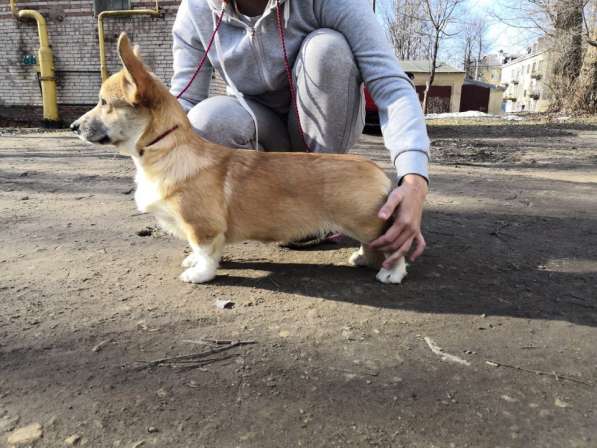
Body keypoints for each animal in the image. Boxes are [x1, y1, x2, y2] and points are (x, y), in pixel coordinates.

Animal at [68, 34, 406, 284]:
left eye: (104, 103)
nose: (73, 126)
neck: (167, 151)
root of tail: (378, 171)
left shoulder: (202, 226)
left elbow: (206, 253)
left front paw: (199, 274)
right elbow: (199, 250)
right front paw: (192, 261)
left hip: (367, 223)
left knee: (393, 247)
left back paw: (391, 272)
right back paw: (362, 259)